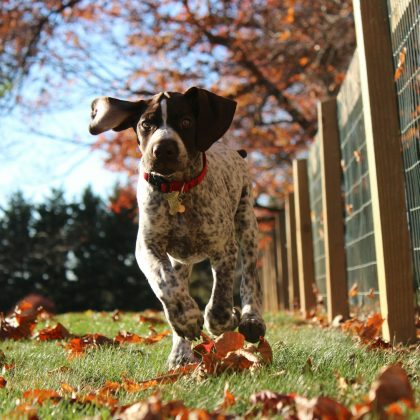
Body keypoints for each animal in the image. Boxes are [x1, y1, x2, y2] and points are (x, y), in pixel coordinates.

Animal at [88, 87, 266, 366]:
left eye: (185, 122)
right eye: (146, 124)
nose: (163, 149)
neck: (177, 189)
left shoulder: (224, 248)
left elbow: (220, 300)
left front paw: (227, 319)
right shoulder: (148, 247)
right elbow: (165, 283)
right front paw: (186, 319)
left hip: (247, 224)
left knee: (249, 277)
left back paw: (251, 319)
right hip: (181, 260)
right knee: (177, 284)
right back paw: (180, 353)